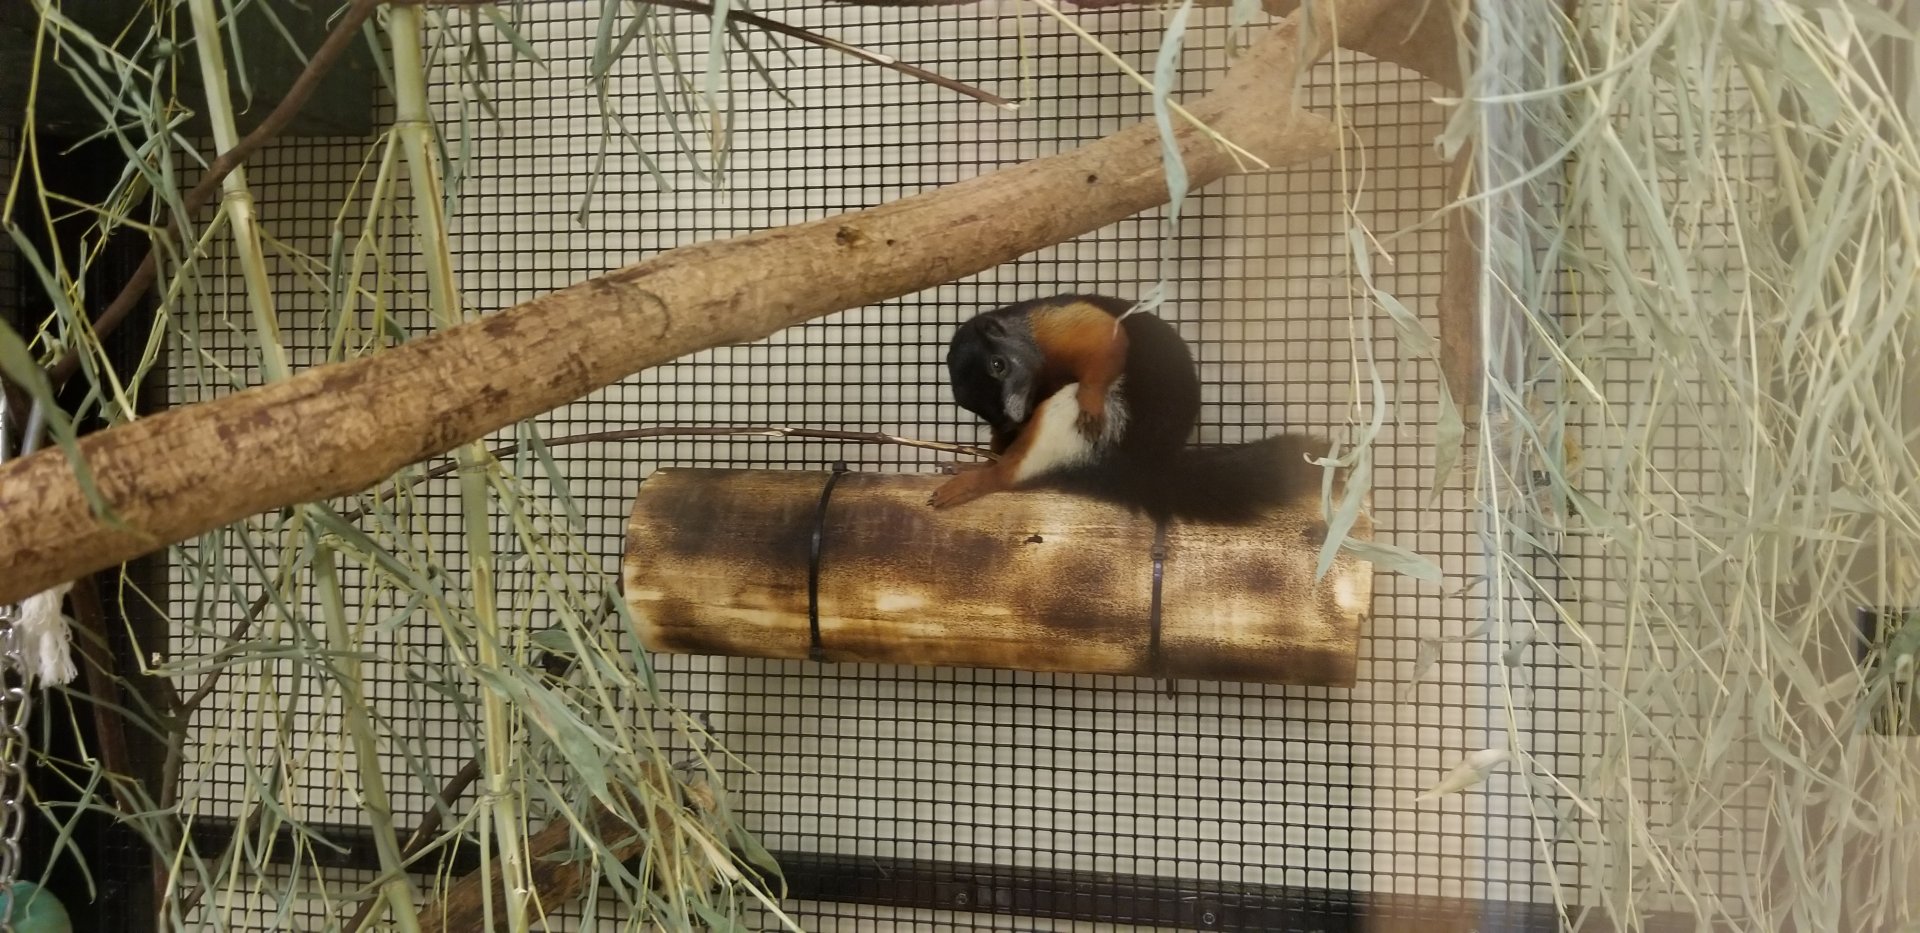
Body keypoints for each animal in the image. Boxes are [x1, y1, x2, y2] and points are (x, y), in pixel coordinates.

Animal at [929, 293, 1329, 524]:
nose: (1012, 417)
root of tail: (1144, 469)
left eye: (998, 365)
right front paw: (992, 446)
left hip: (1098, 429)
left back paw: (988, 477)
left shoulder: (1052, 324)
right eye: (969, 403)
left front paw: (1090, 396)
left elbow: (1105, 337)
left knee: (1026, 459)